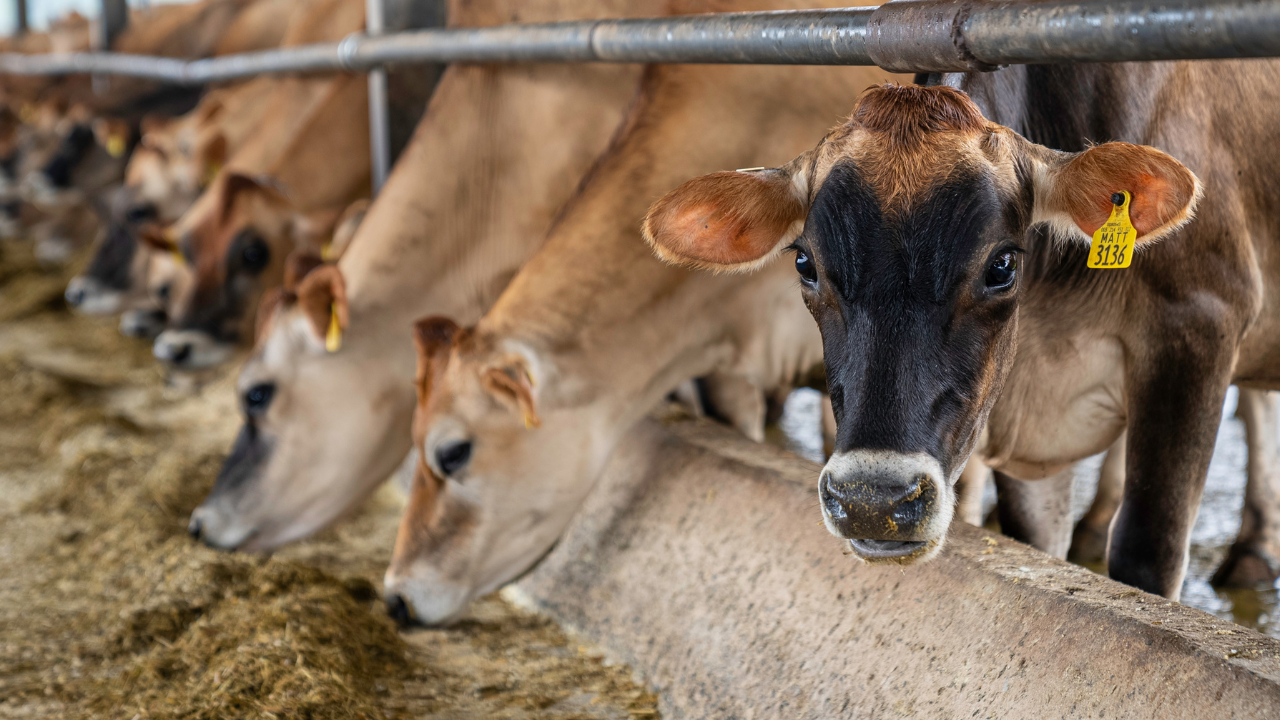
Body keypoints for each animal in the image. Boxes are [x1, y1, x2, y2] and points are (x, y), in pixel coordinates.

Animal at [645, 70, 1280, 597]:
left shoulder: (1199, 323)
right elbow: (1036, 540)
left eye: (1001, 265)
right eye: (805, 264)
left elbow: (1148, 552)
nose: (872, 502)